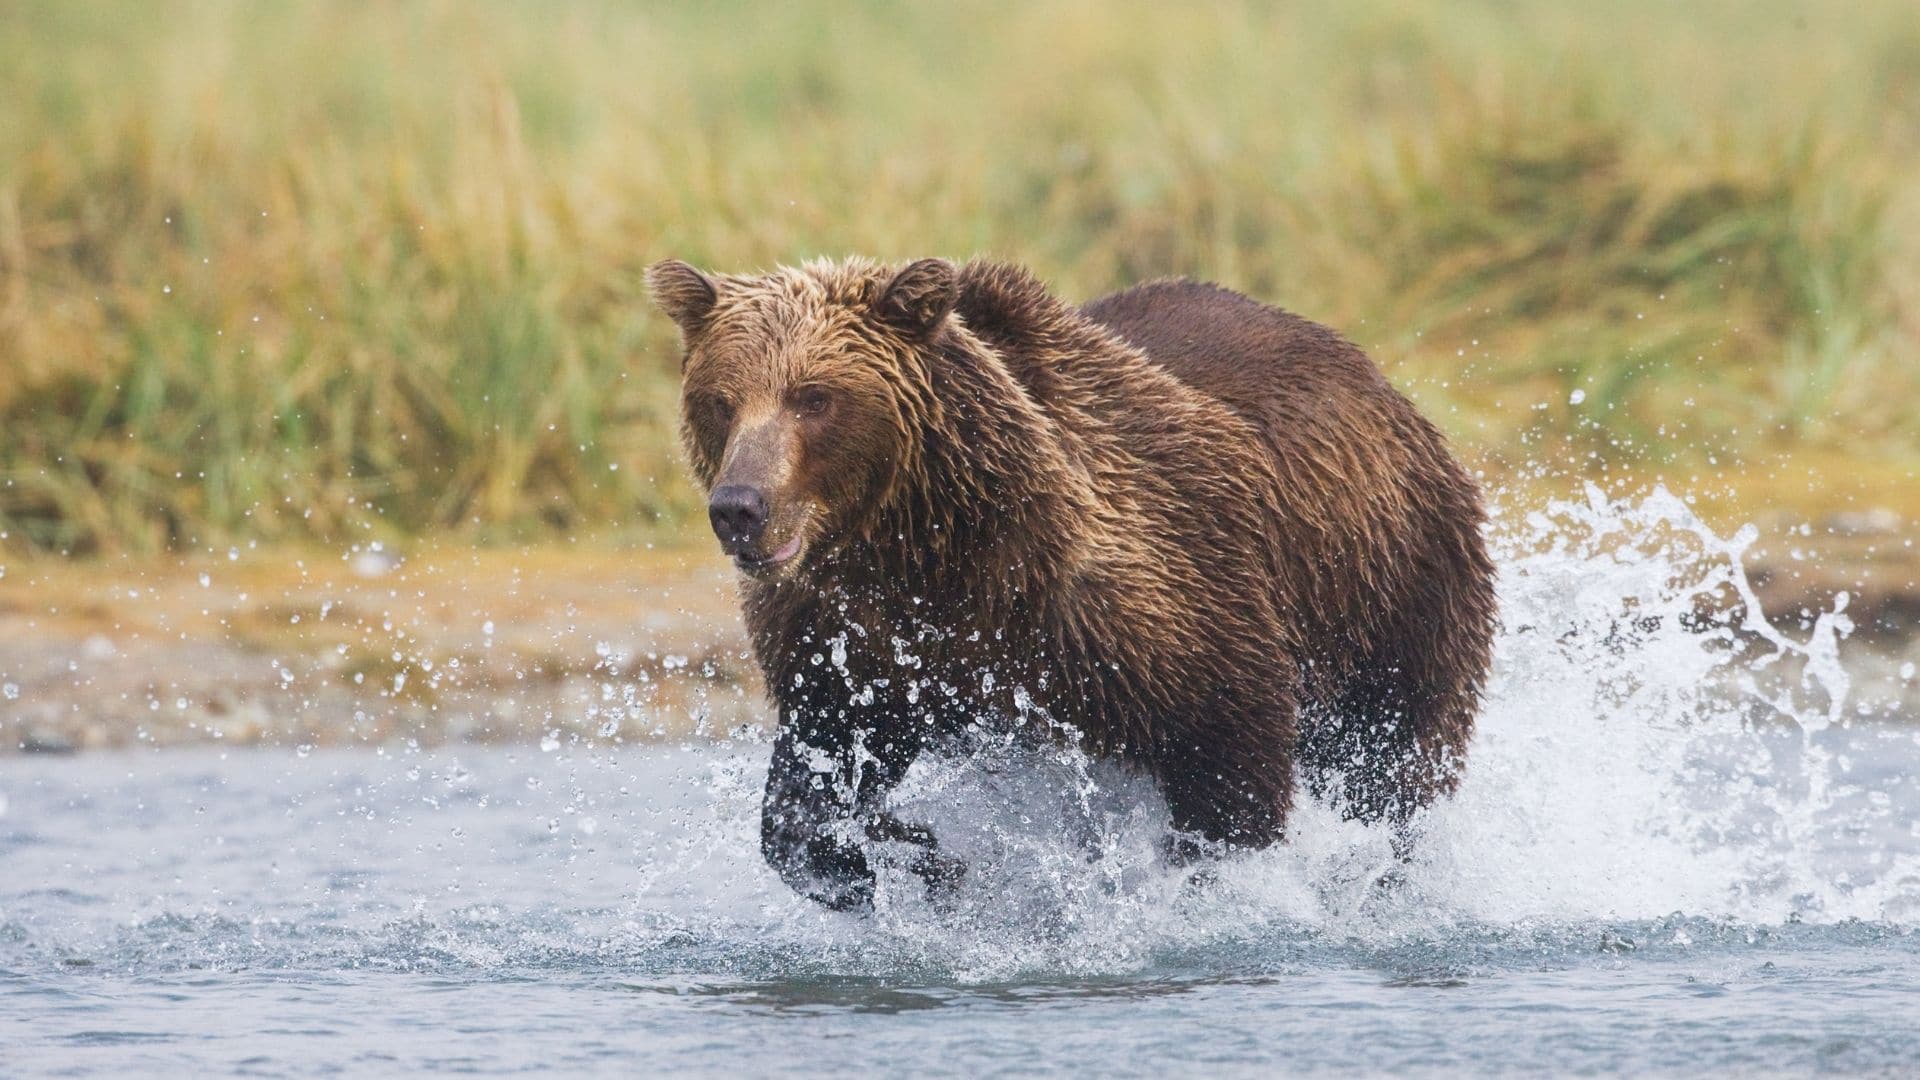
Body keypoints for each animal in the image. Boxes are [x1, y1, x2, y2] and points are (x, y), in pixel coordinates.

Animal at [647, 255, 1498, 911]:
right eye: (721, 399)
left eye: (814, 396)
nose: (739, 508)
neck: (928, 551)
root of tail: (1382, 384)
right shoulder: (854, 642)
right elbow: (814, 784)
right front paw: (916, 858)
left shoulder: (1146, 600)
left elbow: (1231, 754)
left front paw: (1199, 889)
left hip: (1393, 590)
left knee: (1392, 766)